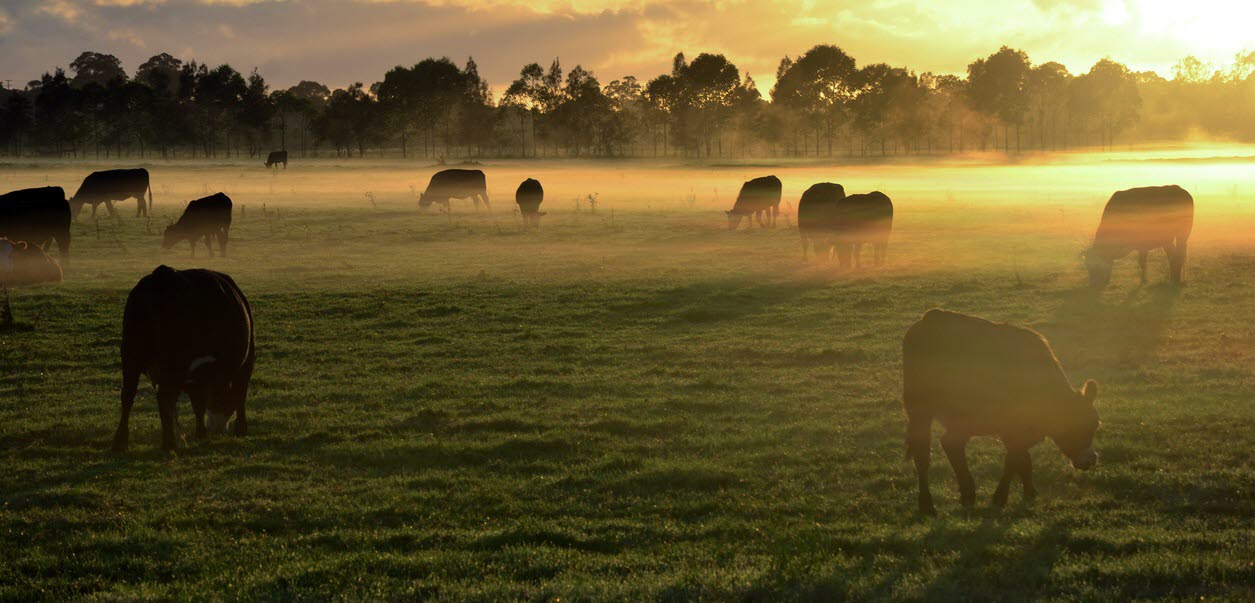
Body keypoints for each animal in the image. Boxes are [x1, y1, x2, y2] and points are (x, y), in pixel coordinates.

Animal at [115, 266, 254, 449]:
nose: (218, 429)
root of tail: (164, 274)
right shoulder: (245, 363)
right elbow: (239, 395)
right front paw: (240, 429)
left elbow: (198, 404)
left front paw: (200, 433)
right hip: (172, 363)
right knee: (165, 397)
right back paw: (169, 444)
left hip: (131, 354)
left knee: (128, 394)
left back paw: (120, 442)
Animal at [903, 311, 1099, 512]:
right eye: (1076, 427)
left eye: (1094, 425)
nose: (1090, 460)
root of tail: (932, 316)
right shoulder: (1012, 428)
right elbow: (1013, 459)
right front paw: (1000, 498)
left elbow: (1023, 459)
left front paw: (1029, 493)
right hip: (921, 409)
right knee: (924, 452)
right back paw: (928, 505)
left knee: (950, 444)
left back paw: (967, 494)